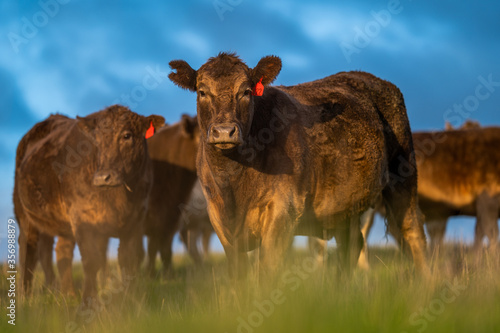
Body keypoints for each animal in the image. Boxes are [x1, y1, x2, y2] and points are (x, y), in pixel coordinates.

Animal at [13, 105, 164, 300]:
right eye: (96, 140)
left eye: (127, 135)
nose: (102, 177)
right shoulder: (84, 220)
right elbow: (92, 261)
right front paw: (89, 301)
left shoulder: (135, 222)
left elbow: (129, 259)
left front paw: (128, 299)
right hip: (24, 213)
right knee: (28, 250)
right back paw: (24, 297)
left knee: (59, 250)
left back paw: (67, 293)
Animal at [169, 52, 430, 278]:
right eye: (202, 91)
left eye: (246, 92)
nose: (224, 131)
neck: (233, 185)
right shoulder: (219, 219)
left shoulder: (283, 210)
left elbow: (267, 272)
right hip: (344, 204)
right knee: (351, 245)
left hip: (403, 173)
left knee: (412, 229)